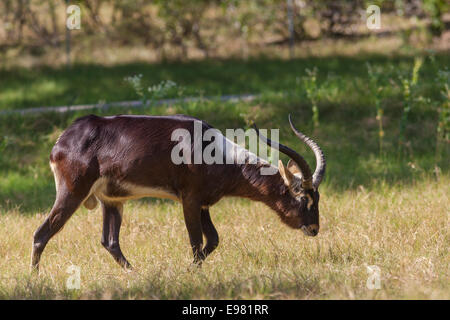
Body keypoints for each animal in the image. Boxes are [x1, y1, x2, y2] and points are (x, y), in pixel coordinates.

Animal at [32, 114, 326, 272]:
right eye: (304, 197)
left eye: (317, 198)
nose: (314, 229)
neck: (215, 151)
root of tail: (62, 141)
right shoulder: (190, 200)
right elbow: (196, 243)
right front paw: (190, 273)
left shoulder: (204, 204)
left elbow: (213, 240)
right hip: (72, 193)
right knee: (41, 234)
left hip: (112, 201)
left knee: (110, 241)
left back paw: (136, 274)